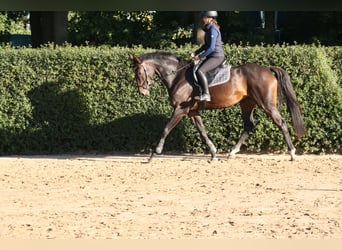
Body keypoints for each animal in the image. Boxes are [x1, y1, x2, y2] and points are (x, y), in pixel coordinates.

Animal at [131, 51, 304, 161]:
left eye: (138, 73)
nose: (142, 93)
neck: (177, 76)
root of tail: (267, 69)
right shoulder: (192, 112)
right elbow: (202, 132)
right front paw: (213, 153)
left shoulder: (180, 109)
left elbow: (166, 128)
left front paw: (155, 153)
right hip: (247, 103)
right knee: (248, 125)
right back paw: (232, 152)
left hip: (266, 104)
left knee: (281, 123)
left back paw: (292, 153)